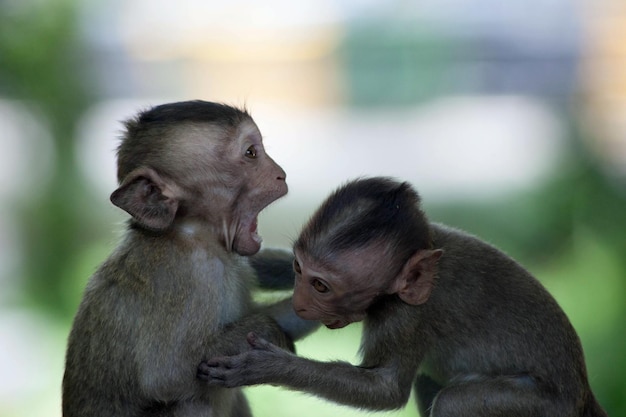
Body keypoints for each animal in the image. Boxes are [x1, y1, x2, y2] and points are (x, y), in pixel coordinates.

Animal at [62, 101, 316, 416]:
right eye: (251, 153)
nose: (280, 174)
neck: (191, 233)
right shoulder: (184, 277)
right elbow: (165, 376)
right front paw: (270, 334)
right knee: (190, 403)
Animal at [199, 176, 604, 416]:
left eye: (322, 286)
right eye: (301, 270)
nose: (300, 302)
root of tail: (583, 395)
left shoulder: (406, 317)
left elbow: (386, 389)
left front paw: (268, 366)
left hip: (543, 408)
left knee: (455, 401)